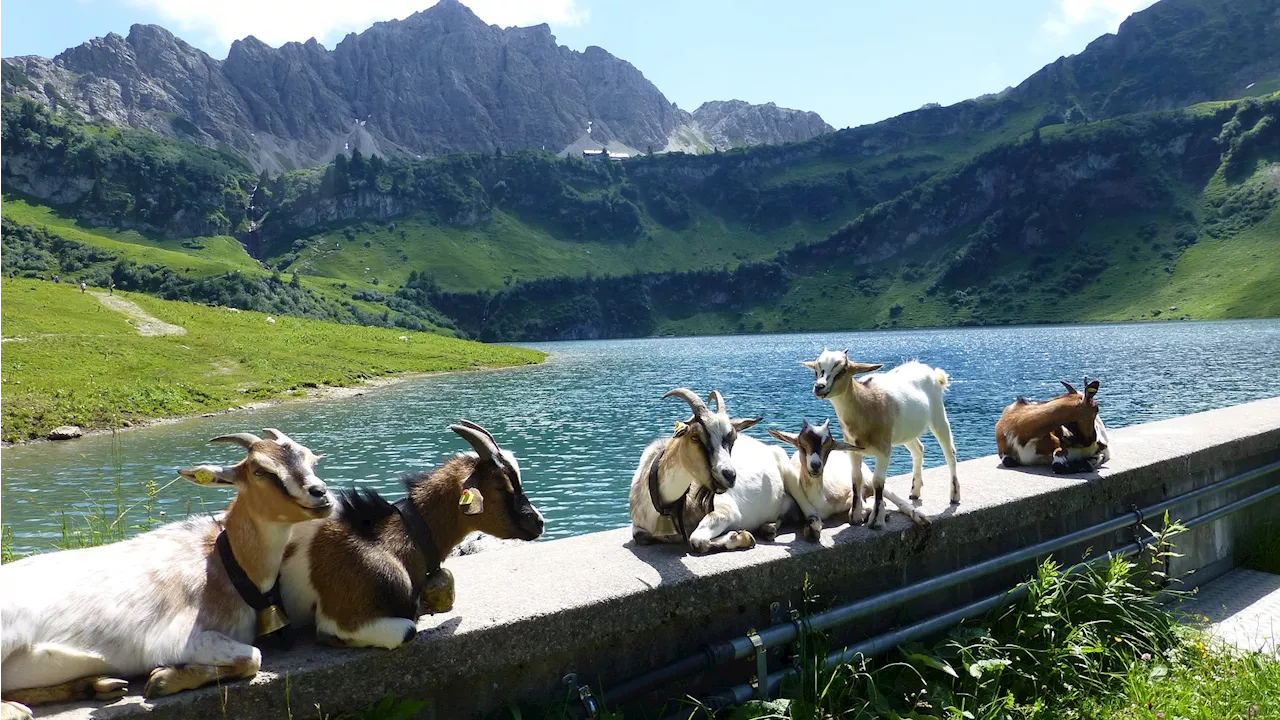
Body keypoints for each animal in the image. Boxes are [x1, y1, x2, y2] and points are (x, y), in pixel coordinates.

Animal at [0, 427, 335, 712]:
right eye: (260, 470)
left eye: (310, 459)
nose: (321, 494)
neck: (222, 561)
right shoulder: (175, 639)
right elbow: (253, 657)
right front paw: (163, 679)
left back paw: (98, 685)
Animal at [627, 386, 793, 548]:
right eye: (694, 437)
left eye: (733, 439)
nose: (730, 475)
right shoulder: (639, 526)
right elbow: (641, 536)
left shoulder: (725, 510)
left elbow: (697, 540)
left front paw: (742, 536)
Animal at [762, 417, 926, 535]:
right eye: (801, 445)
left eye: (829, 448)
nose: (815, 465)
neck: (821, 500)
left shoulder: (849, 494)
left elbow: (861, 506)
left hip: (868, 476)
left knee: (893, 496)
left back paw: (919, 516)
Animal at [798, 351, 962, 530]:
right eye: (816, 370)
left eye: (842, 370)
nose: (819, 387)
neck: (865, 403)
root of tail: (933, 373)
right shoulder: (852, 449)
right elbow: (856, 477)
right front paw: (855, 517)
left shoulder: (884, 449)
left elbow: (877, 482)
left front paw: (876, 520)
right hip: (906, 432)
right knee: (918, 449)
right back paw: (914, 491)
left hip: (938, 415)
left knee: (950, 452)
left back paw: (954, 495)